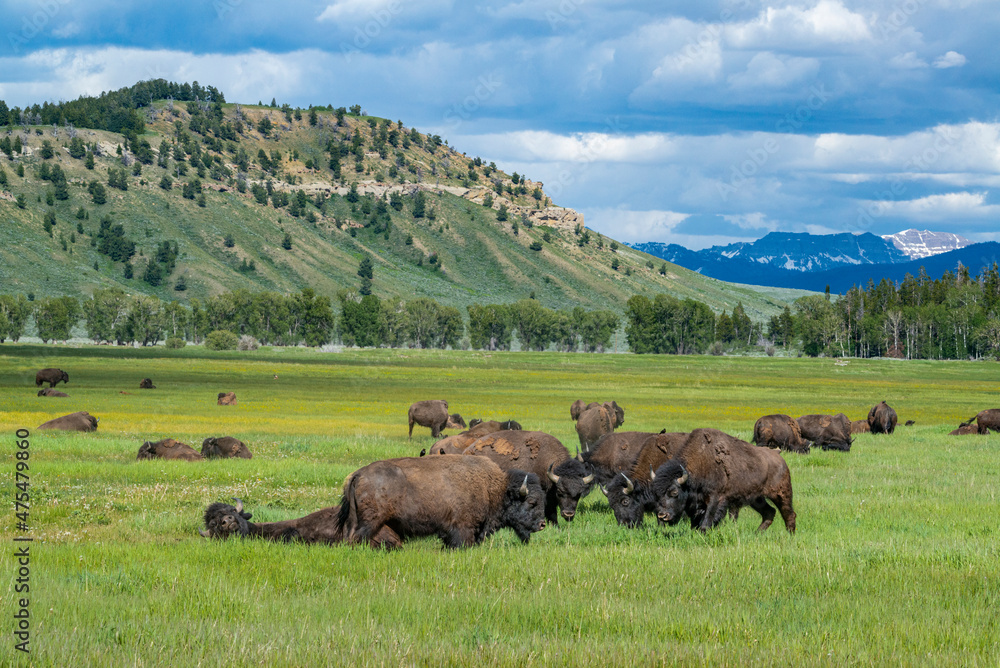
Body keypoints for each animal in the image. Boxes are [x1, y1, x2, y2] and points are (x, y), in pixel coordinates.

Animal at [334, 454, 548, 548]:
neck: (493, 488)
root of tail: (358, 474)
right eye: (531, 502)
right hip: (370, 522)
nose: (542, 524)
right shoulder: (462, 528)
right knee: (358, 537)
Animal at [648, 430, 796, 536]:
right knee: (769, 512)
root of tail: (780, 459)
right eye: (656, 494)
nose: (662, 515)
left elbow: (706, 521)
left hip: (781, 494)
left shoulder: (715, 499)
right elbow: (695, 523)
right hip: (756, 499)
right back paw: (757, 534)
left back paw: (790, 535)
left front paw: (703, 533)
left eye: (674, 492)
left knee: (788, 513)